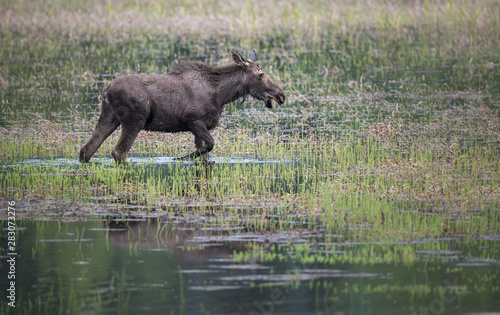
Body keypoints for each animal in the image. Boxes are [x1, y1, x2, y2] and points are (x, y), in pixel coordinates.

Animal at [80, 48, 288, 165]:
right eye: (260, 75)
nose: (281, 95)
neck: (222, 94)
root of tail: (106, 91)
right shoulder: (192, 120)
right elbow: (210, 145)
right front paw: (178, 158)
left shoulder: (201, 126)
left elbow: (205, 154)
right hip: (134, 120)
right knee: (118, 152)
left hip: (109, 117)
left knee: (86, 150)